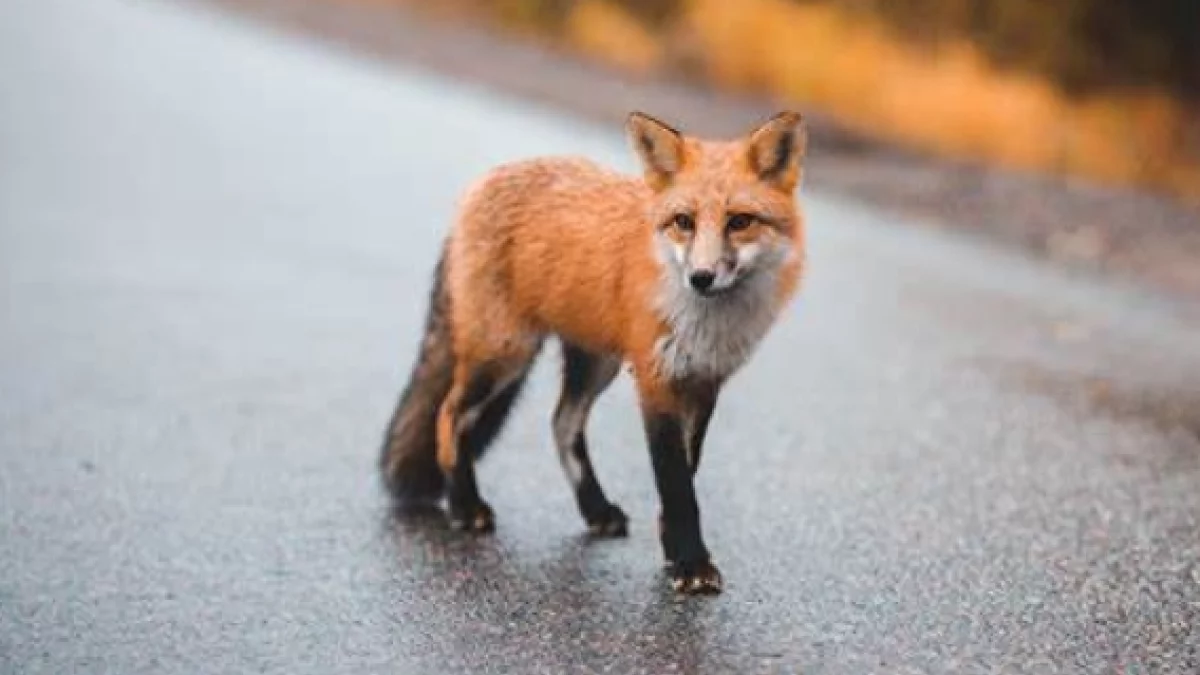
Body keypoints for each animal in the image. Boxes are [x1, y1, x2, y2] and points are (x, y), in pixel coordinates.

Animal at [376, 110, 806, 593]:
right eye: (684, 221)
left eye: (739, 221)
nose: (701, 277)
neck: (705, 322)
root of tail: (481, 182)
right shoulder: (655, 380)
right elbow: (676, 484)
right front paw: (690, 562)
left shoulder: (703, 381)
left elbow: (685, 477)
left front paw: (674, 551)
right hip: (505, 353)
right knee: (449, 416)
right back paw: (465, 505)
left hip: (596, 363)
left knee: (562, 423)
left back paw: (594, 510)